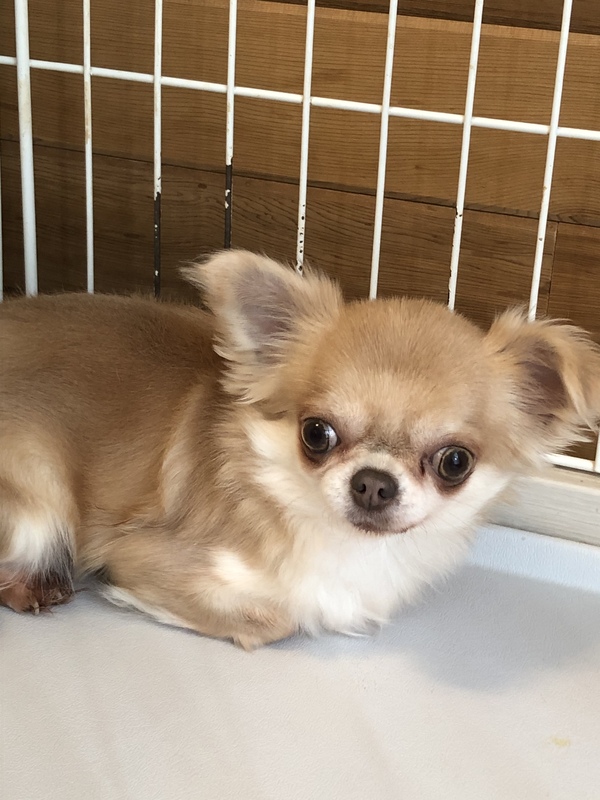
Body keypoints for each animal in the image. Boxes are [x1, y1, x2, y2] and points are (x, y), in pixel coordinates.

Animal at [1, 250, 599, 648]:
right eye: (316, 433)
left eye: (456, 462)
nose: (373, 482)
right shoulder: (141, 555)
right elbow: (277, 617)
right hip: (40, 496)